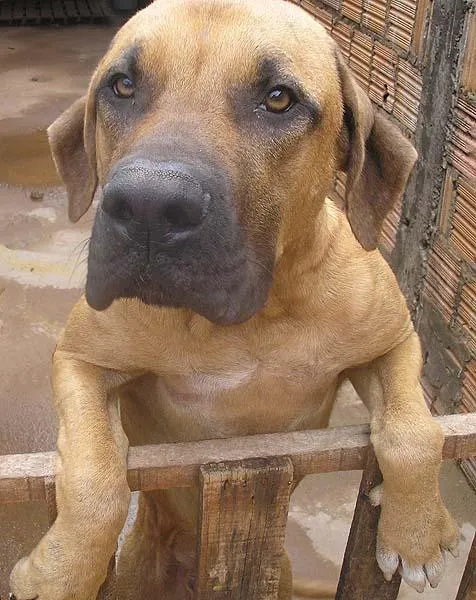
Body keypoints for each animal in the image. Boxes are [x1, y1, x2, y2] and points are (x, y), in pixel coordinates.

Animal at [9, 1, 460, 600]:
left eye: (279, 98)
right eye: (122, 85)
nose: (148, 205)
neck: (247, 322)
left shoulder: (392, 344)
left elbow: (417, 429)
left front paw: (417, 531)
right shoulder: (80, 361)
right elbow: (92, 475)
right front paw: (59, 572)